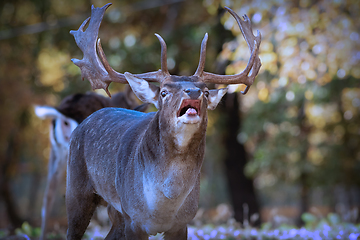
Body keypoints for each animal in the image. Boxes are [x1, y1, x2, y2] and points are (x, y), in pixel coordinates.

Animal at [66, 2, 260, 239]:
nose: (193, 91)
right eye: (164, 92)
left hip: (115, 211)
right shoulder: (134, 218)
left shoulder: (183, 222)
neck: (165, 203)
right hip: (77, 188)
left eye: (206, 91)